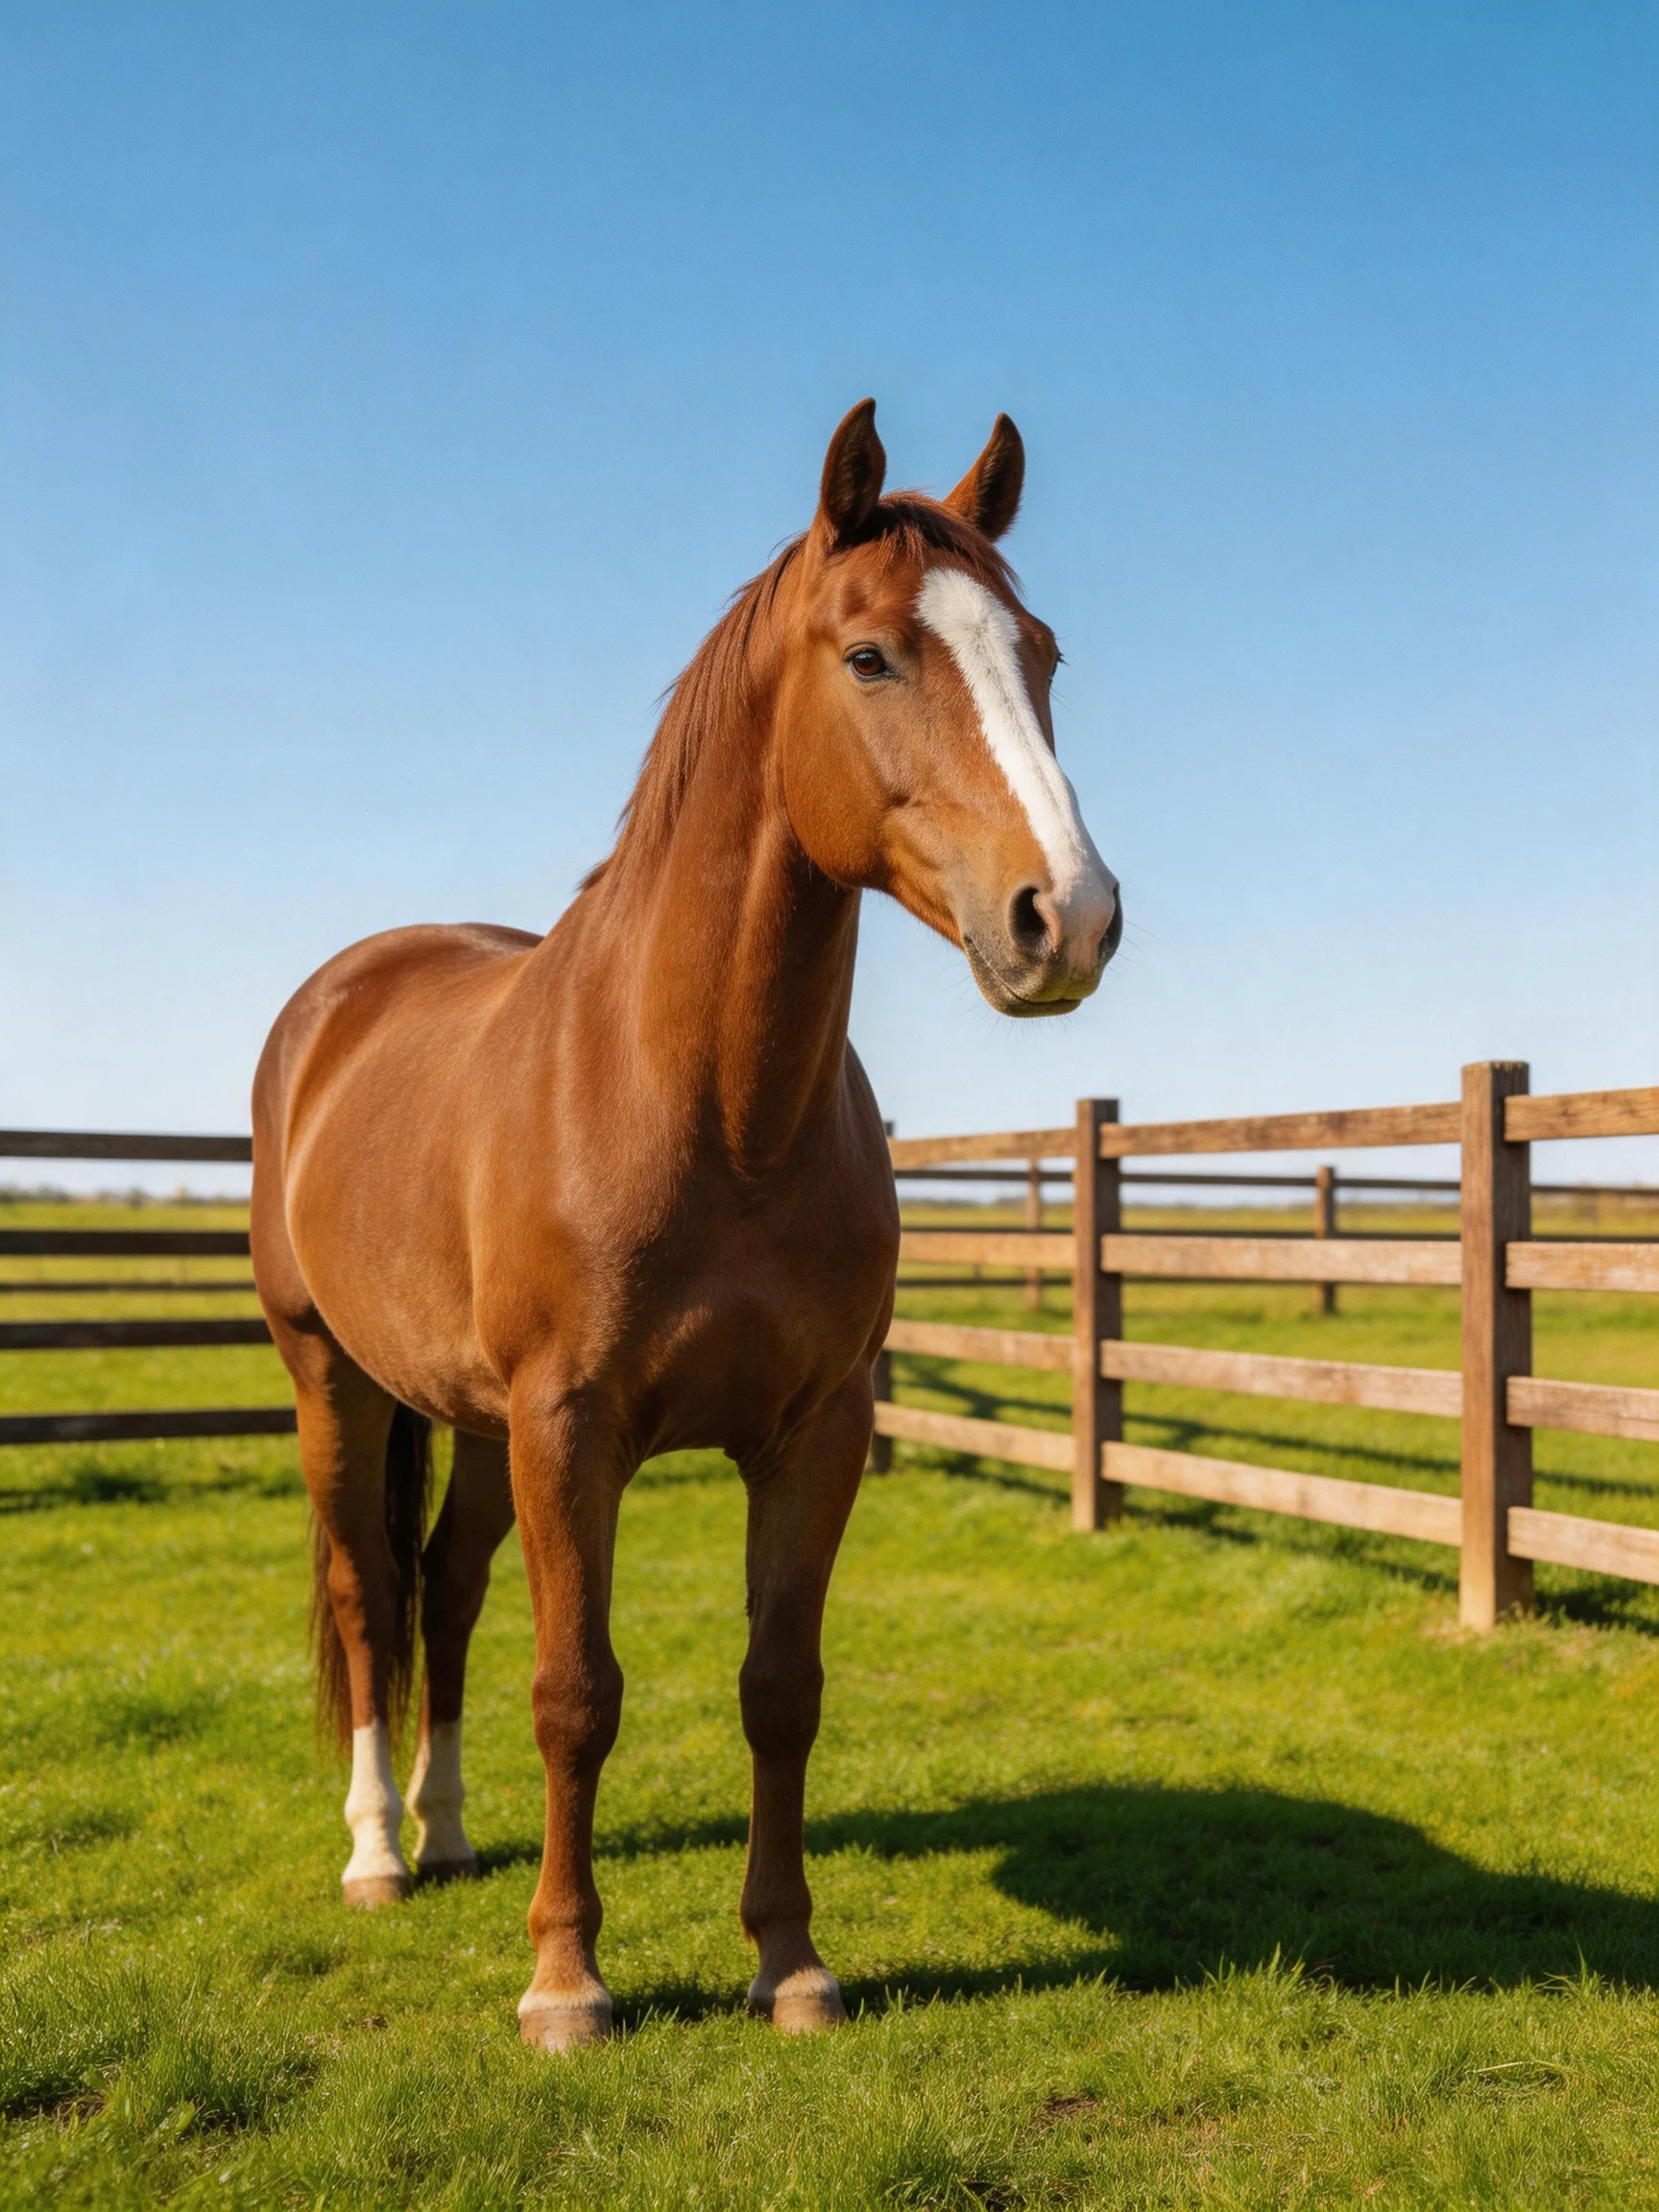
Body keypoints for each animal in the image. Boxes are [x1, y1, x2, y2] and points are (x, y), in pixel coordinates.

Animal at [250, 399, 1120, 2052]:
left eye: (1043, 654)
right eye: (873, 656)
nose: (1070, 919)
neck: (707, 1103)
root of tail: (340, 996)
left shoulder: (813, 1429)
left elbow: (780, 1686)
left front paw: (790, 1963)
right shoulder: (571, 1428)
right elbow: (576, 1692)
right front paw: (566, 1983)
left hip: (471, 1424)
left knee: (443, 1590)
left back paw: (449, 1833)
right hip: (334, 1377)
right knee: (366, 1596)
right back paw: (378, 1853)